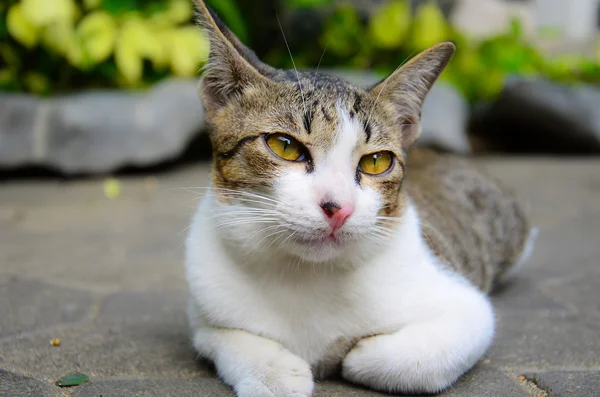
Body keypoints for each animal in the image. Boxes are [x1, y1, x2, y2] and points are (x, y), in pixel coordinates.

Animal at [185, 1, 536, 394]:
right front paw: (274, 373)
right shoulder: (205, 308)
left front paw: (356, 355)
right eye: (285, 146)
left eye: (376, 161)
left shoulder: (467, 306)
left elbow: (416, 357)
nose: (338, 208)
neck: (308, 272)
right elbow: (224, 335)